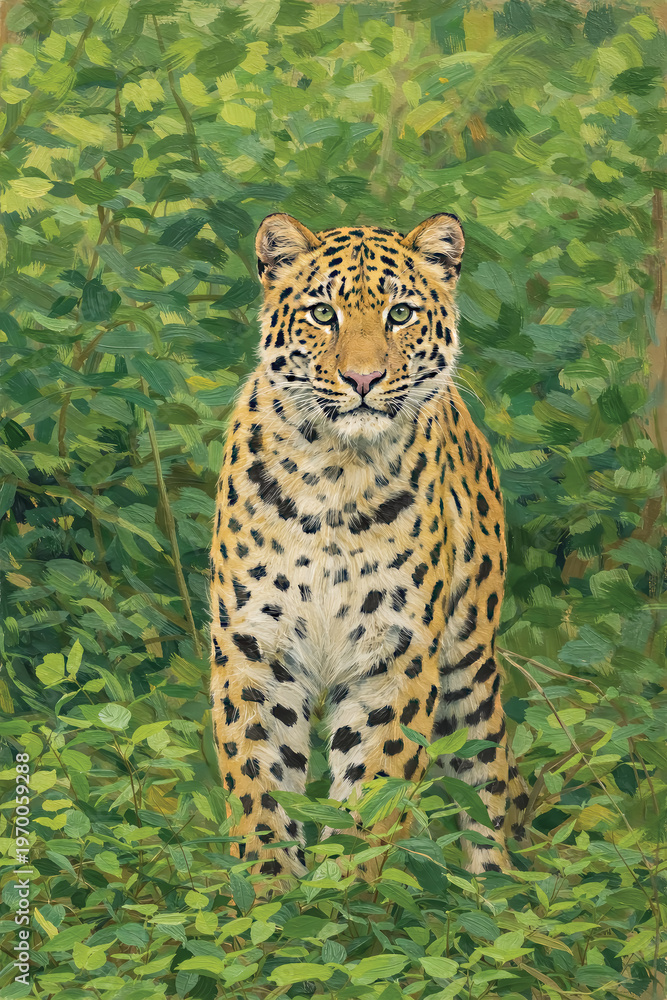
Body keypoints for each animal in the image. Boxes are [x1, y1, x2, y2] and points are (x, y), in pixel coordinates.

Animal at [209, 211, 528, 880]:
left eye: (400, 314)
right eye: (322, 313)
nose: (362, 379)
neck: (336, 471)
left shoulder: (396, 654)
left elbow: (374, 790)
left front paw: (348, 890)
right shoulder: (254, 647)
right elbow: (259, 784)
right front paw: (270, 892)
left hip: (470, 663)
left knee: (487, 780)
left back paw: (494, 889)